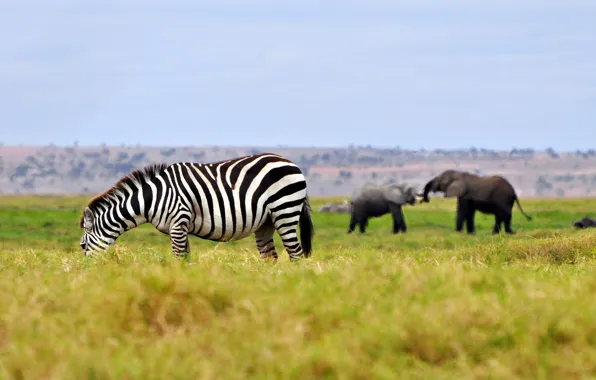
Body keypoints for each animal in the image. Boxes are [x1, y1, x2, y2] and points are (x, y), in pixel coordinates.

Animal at [78, 153, 316, 260]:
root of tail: (291, 163)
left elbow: (178, 257)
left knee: (295, 253)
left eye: (82, 246)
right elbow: (186, 257)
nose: (88, 273)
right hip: (266, 221)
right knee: (270, 257)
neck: (153, 198)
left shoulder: (178, 222)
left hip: (285, 210)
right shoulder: (180, 227)